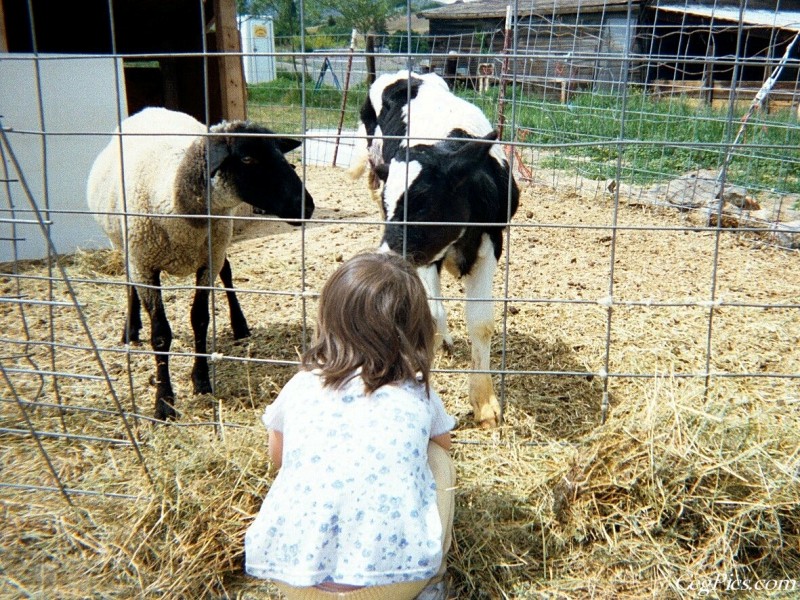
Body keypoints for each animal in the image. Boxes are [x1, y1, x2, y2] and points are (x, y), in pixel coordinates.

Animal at [86, 106, 312, 418]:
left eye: (280, 153)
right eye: (247, 158)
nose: (307, 206)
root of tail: (150, 109)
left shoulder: (209, 260)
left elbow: (200, 319)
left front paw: (202, 380)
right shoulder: (144, 264)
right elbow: (160, 334)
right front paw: (164, 402)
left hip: (218, 242)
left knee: (227, 273)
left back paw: (239, 325)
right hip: (125, 244)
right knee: (129, 281)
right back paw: (130, 329)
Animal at [354, 70, 520, 428]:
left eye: (423, 203)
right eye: (390, 204)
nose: (384, 258)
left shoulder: (492, 241)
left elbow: (481, 321)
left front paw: (484, 401)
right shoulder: (423, 254)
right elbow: (430, 311)